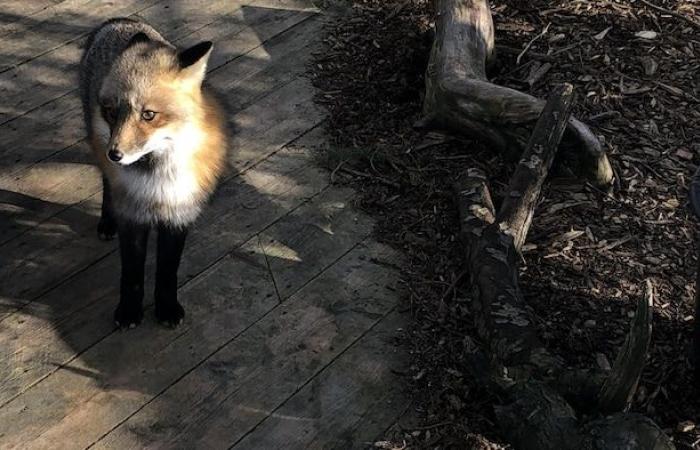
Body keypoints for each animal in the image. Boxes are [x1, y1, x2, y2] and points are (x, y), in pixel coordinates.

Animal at [80, 18, 227, 326]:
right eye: (112, 112)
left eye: (148, 115)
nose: (115, 155)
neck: (157, 178)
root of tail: (120, 22)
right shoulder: (132, 215)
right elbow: (132, 275)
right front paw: (129, 311)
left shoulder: (179, 213)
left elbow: (167, 272)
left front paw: (167, 308)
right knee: (106, 184)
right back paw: (106, 220)